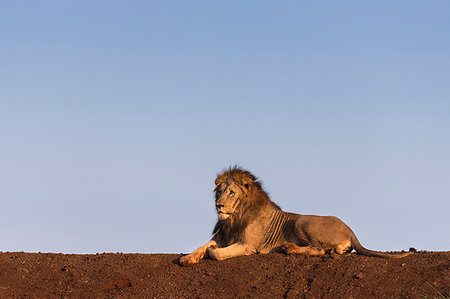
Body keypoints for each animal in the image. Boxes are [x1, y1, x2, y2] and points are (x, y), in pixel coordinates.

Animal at [178, 166, 412, 268]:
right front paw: (187, 258)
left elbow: (215, 253)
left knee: (318, 250)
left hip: (301, 220)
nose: (219, 205)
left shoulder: (247, 245)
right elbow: (201, 245)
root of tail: (350, 230)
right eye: (219, 192)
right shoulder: (222, 236)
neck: (234, 217)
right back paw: (287, 247)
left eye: (232, 193)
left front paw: (209, 253)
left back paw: (290, 249)